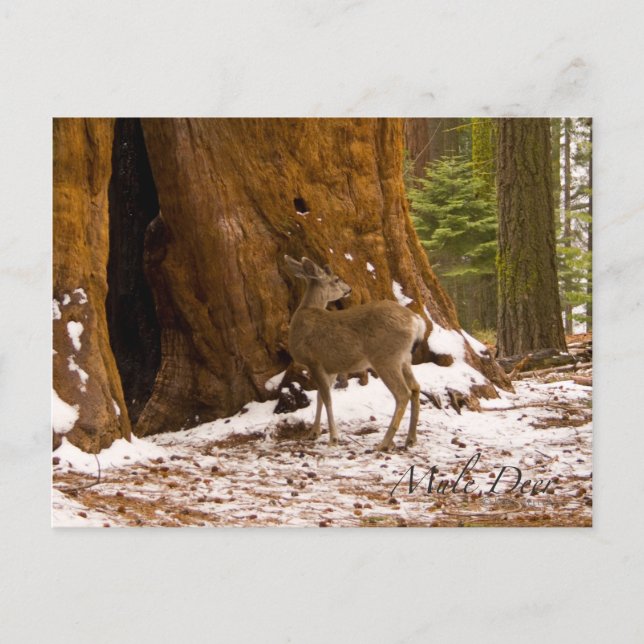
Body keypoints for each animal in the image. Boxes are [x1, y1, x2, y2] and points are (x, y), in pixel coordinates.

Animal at [284, 255, 427, 451]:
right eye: (337, 279)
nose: (349, 289)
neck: (305, 313)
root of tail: (416, 321)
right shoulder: (329, 366)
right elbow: (321, 396)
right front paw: (314, 433)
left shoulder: (314, 361)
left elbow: (327, 398)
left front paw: (333, 438)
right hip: (404, 358)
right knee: (415, 387)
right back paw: (410, 439)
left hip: (386, 357)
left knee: (402, 393)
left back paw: (385, 443)